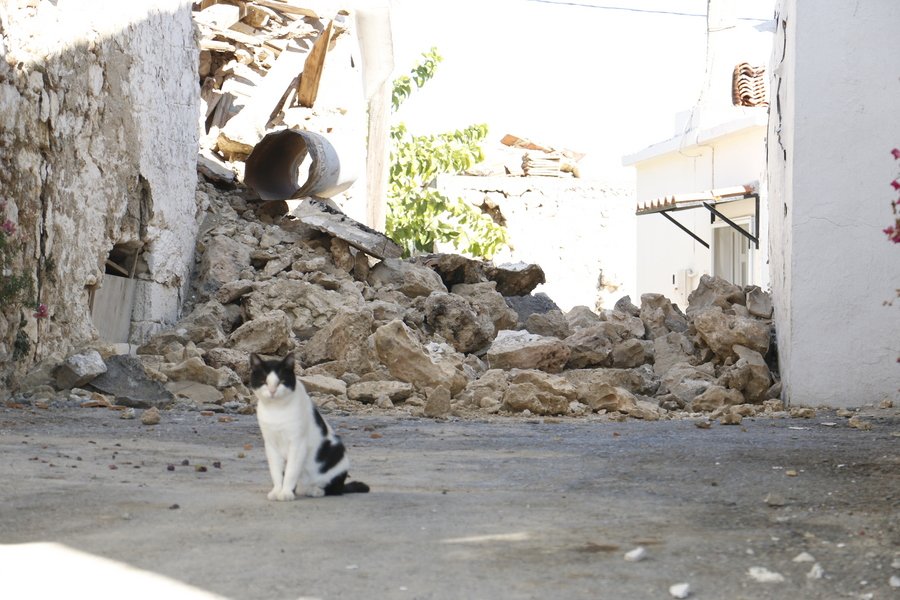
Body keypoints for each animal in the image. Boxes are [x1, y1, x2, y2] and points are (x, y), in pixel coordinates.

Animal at [248, 354, 368, 500]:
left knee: (335, 489)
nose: (272, 391)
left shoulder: (297, 443)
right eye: (263, 381)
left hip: (336, 452)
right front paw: (277, 491)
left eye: (281, 381)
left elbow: (291, 471)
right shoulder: (271, 445)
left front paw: (286, 493)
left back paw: (315, 490)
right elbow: (276, 471)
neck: (276, 410)